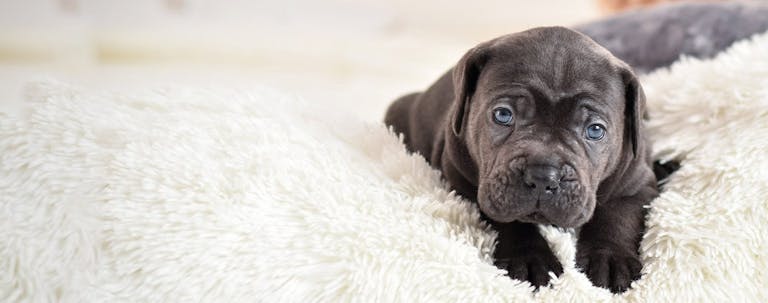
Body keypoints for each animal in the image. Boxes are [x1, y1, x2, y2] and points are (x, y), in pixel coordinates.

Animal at [384, 27, 660, 294]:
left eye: (595, 130)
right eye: (503, 115)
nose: (543, 176)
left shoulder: (636, 183)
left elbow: (618, 215)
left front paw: (611, 258)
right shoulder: (466, 182)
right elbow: (509, 220)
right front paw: (529, 258)